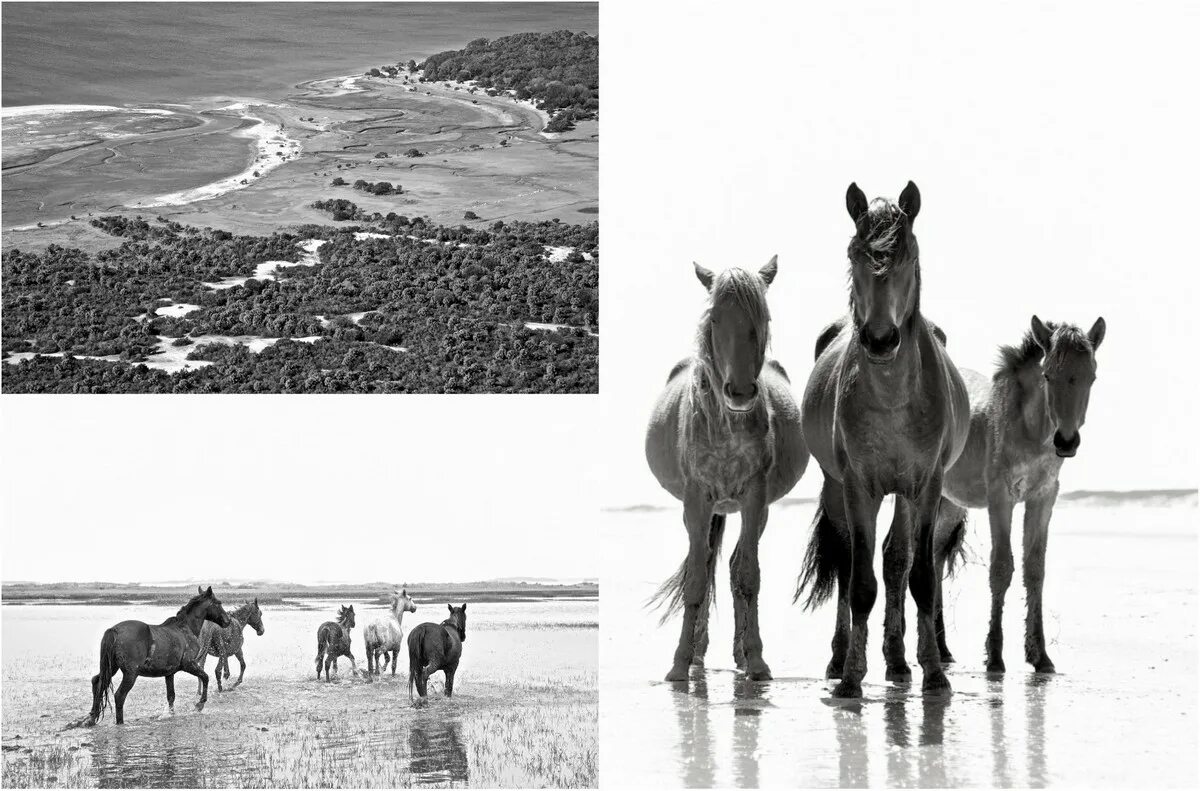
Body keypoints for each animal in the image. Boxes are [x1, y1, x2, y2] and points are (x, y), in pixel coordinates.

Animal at [79, 585, 231, 724]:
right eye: (218, 603)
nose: (227, 621)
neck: (185, 629)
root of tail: (114, 630)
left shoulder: (170, 673)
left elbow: (171, 696)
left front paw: (170, 714)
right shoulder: (189, 664)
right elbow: (205, 677)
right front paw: (200, 704)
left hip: (112, 668)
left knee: (97, 683)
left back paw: (92, 718)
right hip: (130, 674)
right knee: (119, 696)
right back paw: (120, 722)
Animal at [643, 258, 811, 681]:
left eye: (762, 317)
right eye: (715, 318)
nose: (739, 392)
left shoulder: (755, 498)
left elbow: (748, 576)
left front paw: (757, 660)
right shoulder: (696, 500)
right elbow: (696, 580)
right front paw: (679, 664)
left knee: (734, 567)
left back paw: (739, 654)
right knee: (705, 565)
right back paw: (698, 654)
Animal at [926, 314, 1104, 676]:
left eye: (1091, 377)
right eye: (1048, 374)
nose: (1066, 441)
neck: (1029, 428)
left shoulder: (1043, 498)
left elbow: (1034, 569)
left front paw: (1040, 656)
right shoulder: (1001, 497)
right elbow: (1001, 567)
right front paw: (994, 656)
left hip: (951, 504)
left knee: (934, 558)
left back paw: (943, 648)